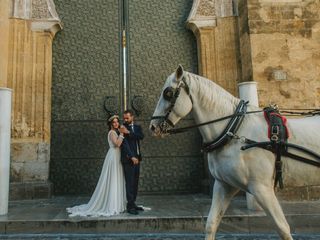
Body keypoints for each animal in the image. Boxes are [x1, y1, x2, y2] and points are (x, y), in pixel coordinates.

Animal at [149, 64, 320, 239]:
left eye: (168, 93)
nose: (153, 127)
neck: (233, 129)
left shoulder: (262, 188)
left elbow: (282, 228)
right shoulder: (224, 184)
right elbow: (211, 224)